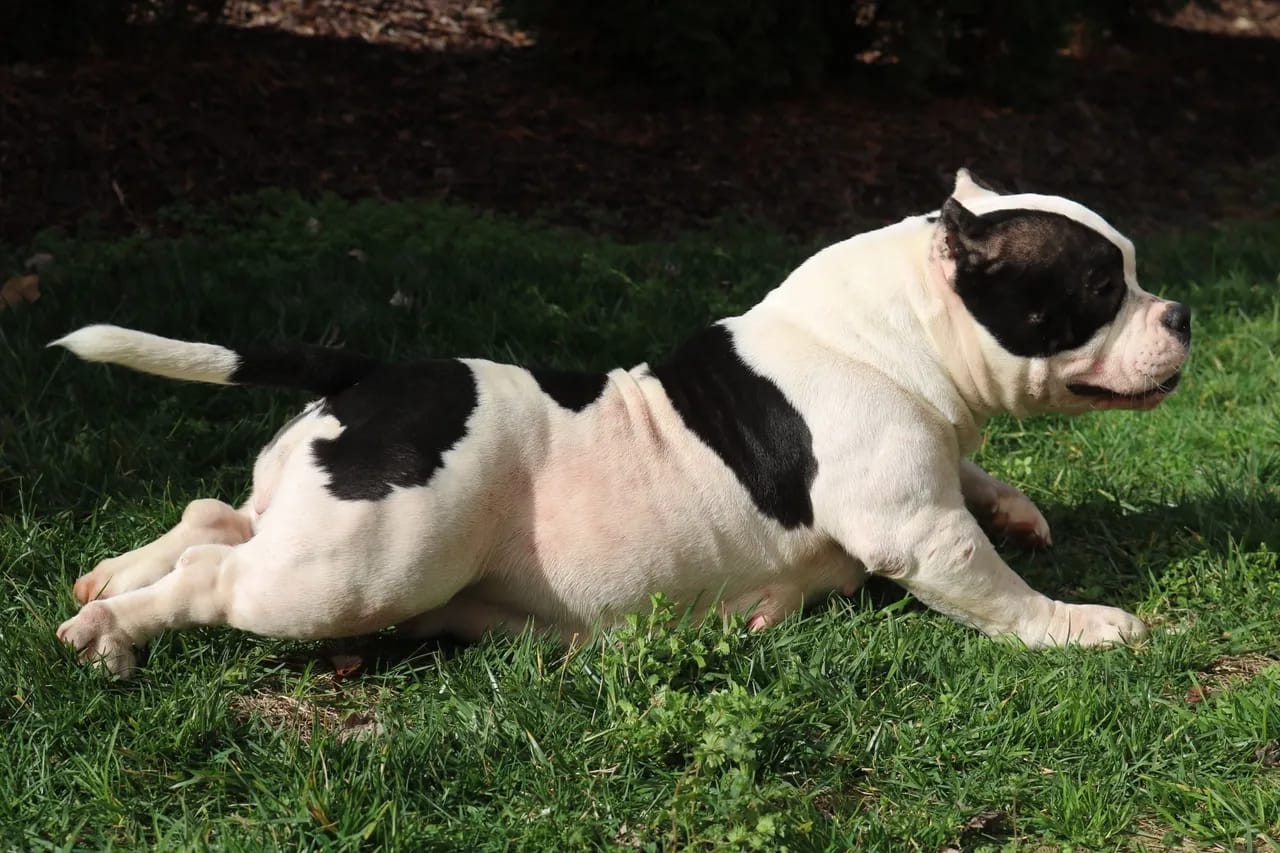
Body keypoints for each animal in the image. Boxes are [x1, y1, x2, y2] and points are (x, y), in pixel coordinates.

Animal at [49, 171, 1187, 676]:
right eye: (1101, 286)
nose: (1179, 312)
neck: (897, 329)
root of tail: (371, 369)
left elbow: (982, 485)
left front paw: (1018, 506)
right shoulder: (918, 530)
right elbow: (997, 591)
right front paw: (1082, 622)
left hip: (322, 524)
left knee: (212, 514)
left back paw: (107, 581)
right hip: (363, 571)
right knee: (218, 573)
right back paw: (115, 630)